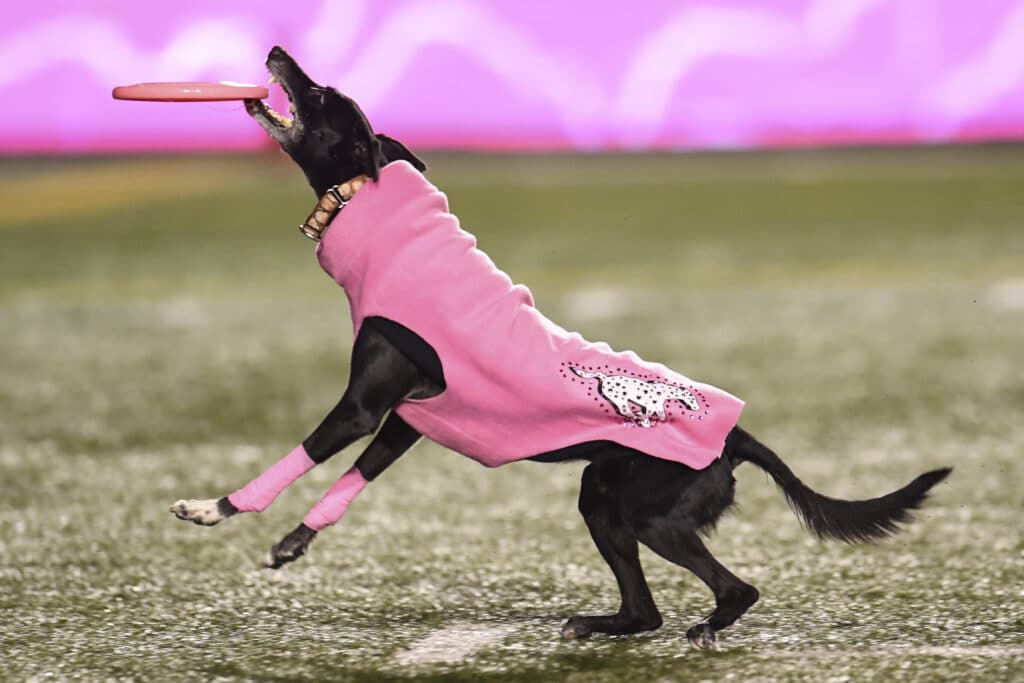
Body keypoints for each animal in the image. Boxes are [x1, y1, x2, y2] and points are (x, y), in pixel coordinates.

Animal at [174, 46, 950, 647]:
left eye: (319, 96)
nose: (278, 51)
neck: (372, 208)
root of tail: (737, 435)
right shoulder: (409, 420)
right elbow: (346, 484)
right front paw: (295, 541)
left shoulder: (365, 406)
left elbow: (297, 459)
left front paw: (215, 508)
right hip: (603, 500)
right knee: (644, 611)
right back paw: (604, 625)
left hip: (643, 507)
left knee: (735, 590)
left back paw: (706, 626)